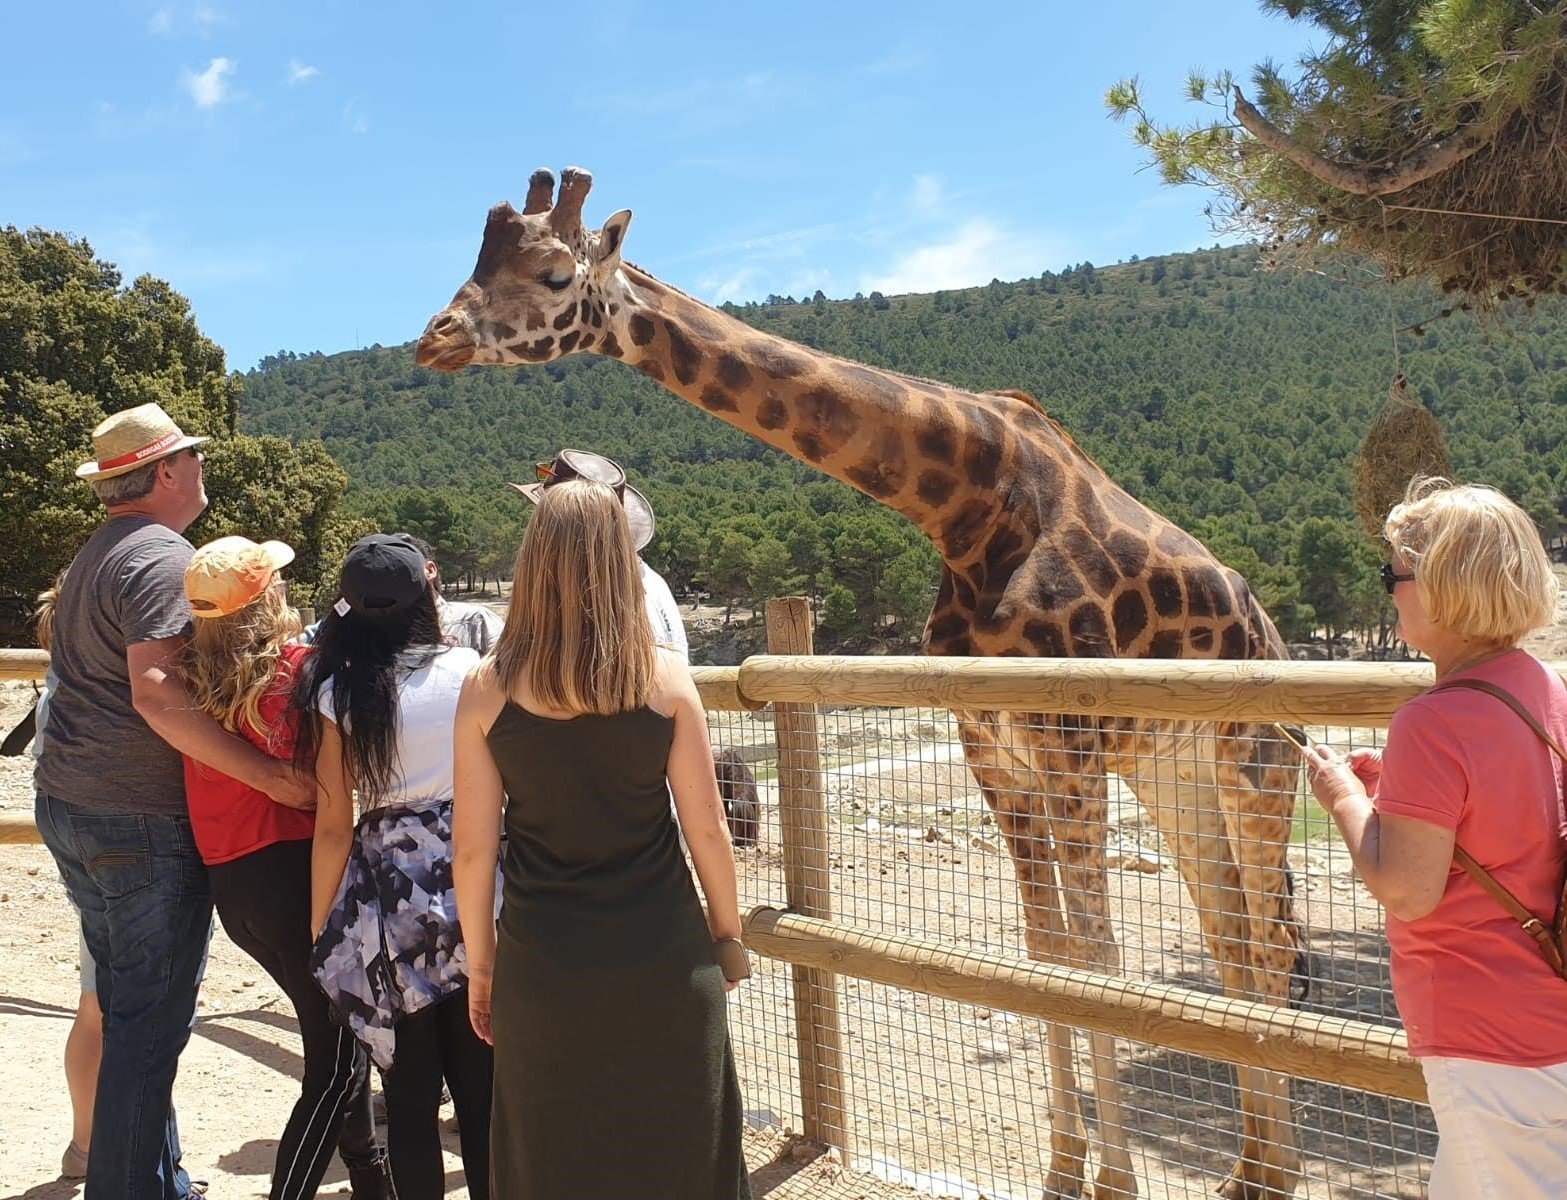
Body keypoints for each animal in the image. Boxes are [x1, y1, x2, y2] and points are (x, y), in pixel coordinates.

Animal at [416, 169, 1310, 1200]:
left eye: (555, 274)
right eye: (479, 258)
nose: (434, 335)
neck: (967, 509)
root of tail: (1272, 633)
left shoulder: (1066, 740)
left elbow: (1097, 961)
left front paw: (1112, 1185)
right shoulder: (993, 751)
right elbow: (1044, 956)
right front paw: (1060, 1173)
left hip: (1253, 763)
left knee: (1267, 945)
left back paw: (1270, 1172)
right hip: (1173, 773)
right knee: (1233, 941)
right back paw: (1251, 1174)